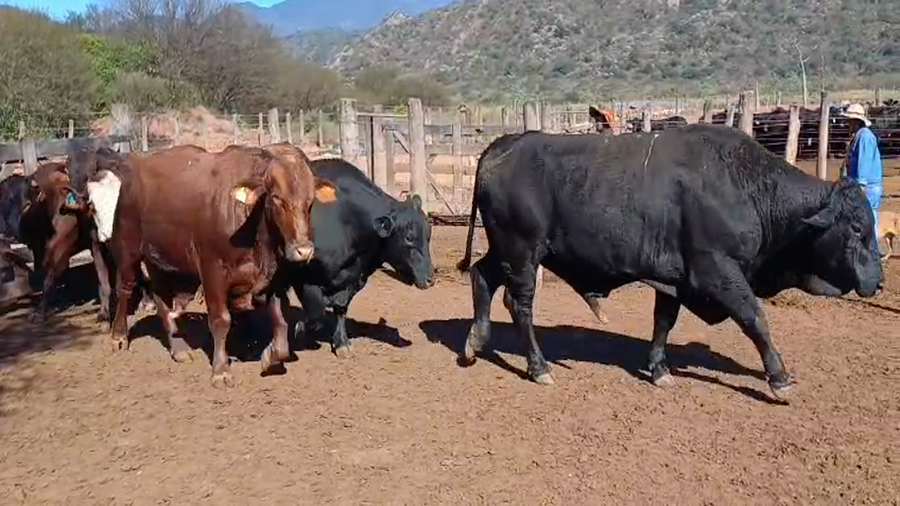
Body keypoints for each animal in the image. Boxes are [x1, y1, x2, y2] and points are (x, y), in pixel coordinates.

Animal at [107, 144, 336, 387]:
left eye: (310, 201)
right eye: (276, 198)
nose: (304, 250)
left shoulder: (273, 279)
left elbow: (281, 323)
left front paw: (270, 358)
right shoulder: (212, 272)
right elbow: (220, 320)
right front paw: (220, 370)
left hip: (163, 263)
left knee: (162, 298)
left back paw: (179, 348)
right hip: (127, 250)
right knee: (125, 289)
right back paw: (119, 337)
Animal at [283, 157, 434, 358]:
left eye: (428, 234)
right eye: (408, 237)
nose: (430, 279)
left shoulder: (353, 277)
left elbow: (340, 309)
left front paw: (341, 343)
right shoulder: (304, 277)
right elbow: (316, 315)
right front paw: (299, 330)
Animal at [456, 124, 882, 402]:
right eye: (858, 228)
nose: (877, 282)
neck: (747, 188)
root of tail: (504, 145)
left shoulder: (673, 278)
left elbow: (663, 322)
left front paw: (659, 369)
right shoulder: (718, 273)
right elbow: (755, 319)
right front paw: (778, 378)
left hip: (505, 252)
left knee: (482, 276)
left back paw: (475, 341)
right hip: (523, 254)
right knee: (519, 304)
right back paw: (538, 366)